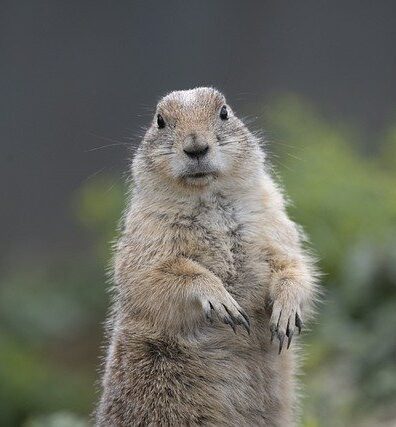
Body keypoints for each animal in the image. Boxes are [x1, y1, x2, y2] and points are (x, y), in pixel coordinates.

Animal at [96, 88, 318, 427]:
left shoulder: (274, 221)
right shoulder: (147, 235)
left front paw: (286, 312)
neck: (210, 200)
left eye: (224, 112)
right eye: (160, 121)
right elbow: (156, 275)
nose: (196, 147)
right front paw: (221, 300)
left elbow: (292, 264)